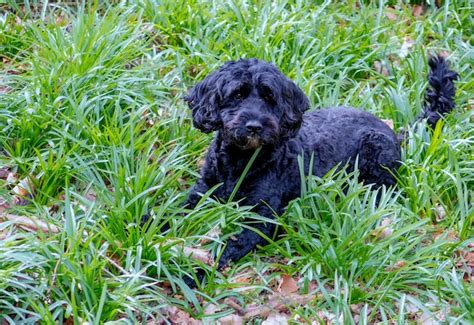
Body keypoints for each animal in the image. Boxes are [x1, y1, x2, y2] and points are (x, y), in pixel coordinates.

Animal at [181, 55, 456, 284]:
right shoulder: (203, 191)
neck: (240, 161)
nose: (255, 126)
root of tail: (394, 133)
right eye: (237, 95)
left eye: (270, 98)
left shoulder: (262, 218)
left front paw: (192, 273)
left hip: (376, 156)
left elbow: (226, 247)